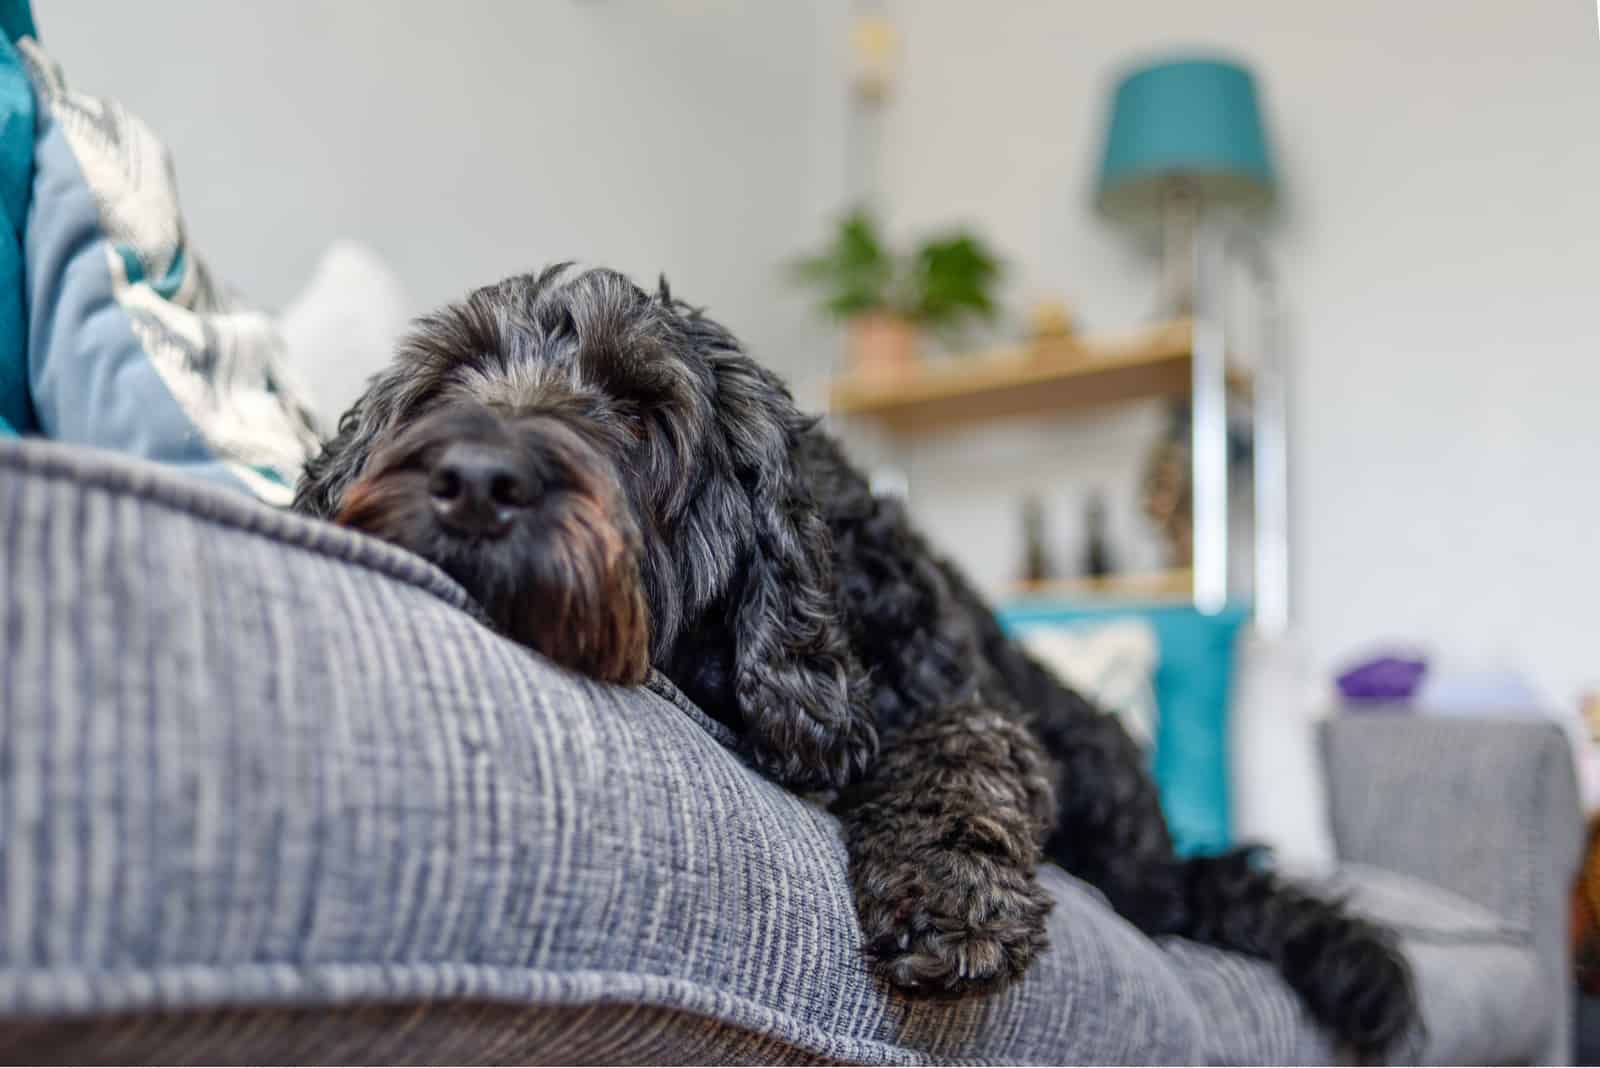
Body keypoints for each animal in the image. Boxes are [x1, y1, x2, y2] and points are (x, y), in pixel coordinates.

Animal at [294, 268, 1420, 1061]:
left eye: (641, 413)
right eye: (445, 384)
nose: (474, 479)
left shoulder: (957, 694)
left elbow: (965, 749)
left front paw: (950, 890)